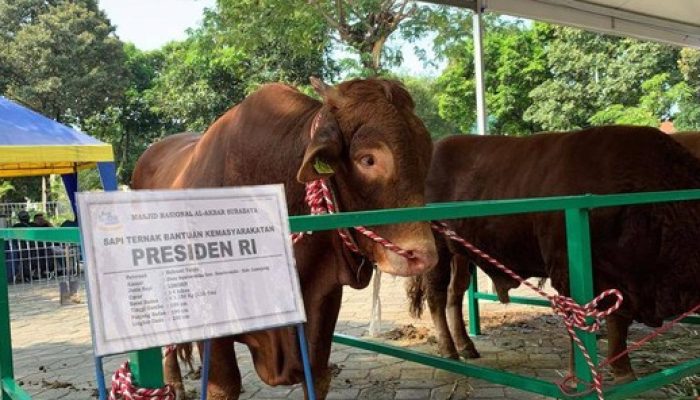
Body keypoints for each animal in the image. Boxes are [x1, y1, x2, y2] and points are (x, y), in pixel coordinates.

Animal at [131, 76, 438, 398]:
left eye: (426, 153)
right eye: (368, 159)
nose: (423, 256)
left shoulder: (323, 296)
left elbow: (316, 376)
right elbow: (223, 385)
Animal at [404, 126, 700, 382]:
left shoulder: (619, 281)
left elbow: (618, 323)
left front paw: (624, 372)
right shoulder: (568, 273)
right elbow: (580, 325)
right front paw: (579, 377)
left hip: (462, 255)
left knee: (455, 293)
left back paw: (467, 346)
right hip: (439, 252)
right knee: (437, 296)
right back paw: (449, 351)